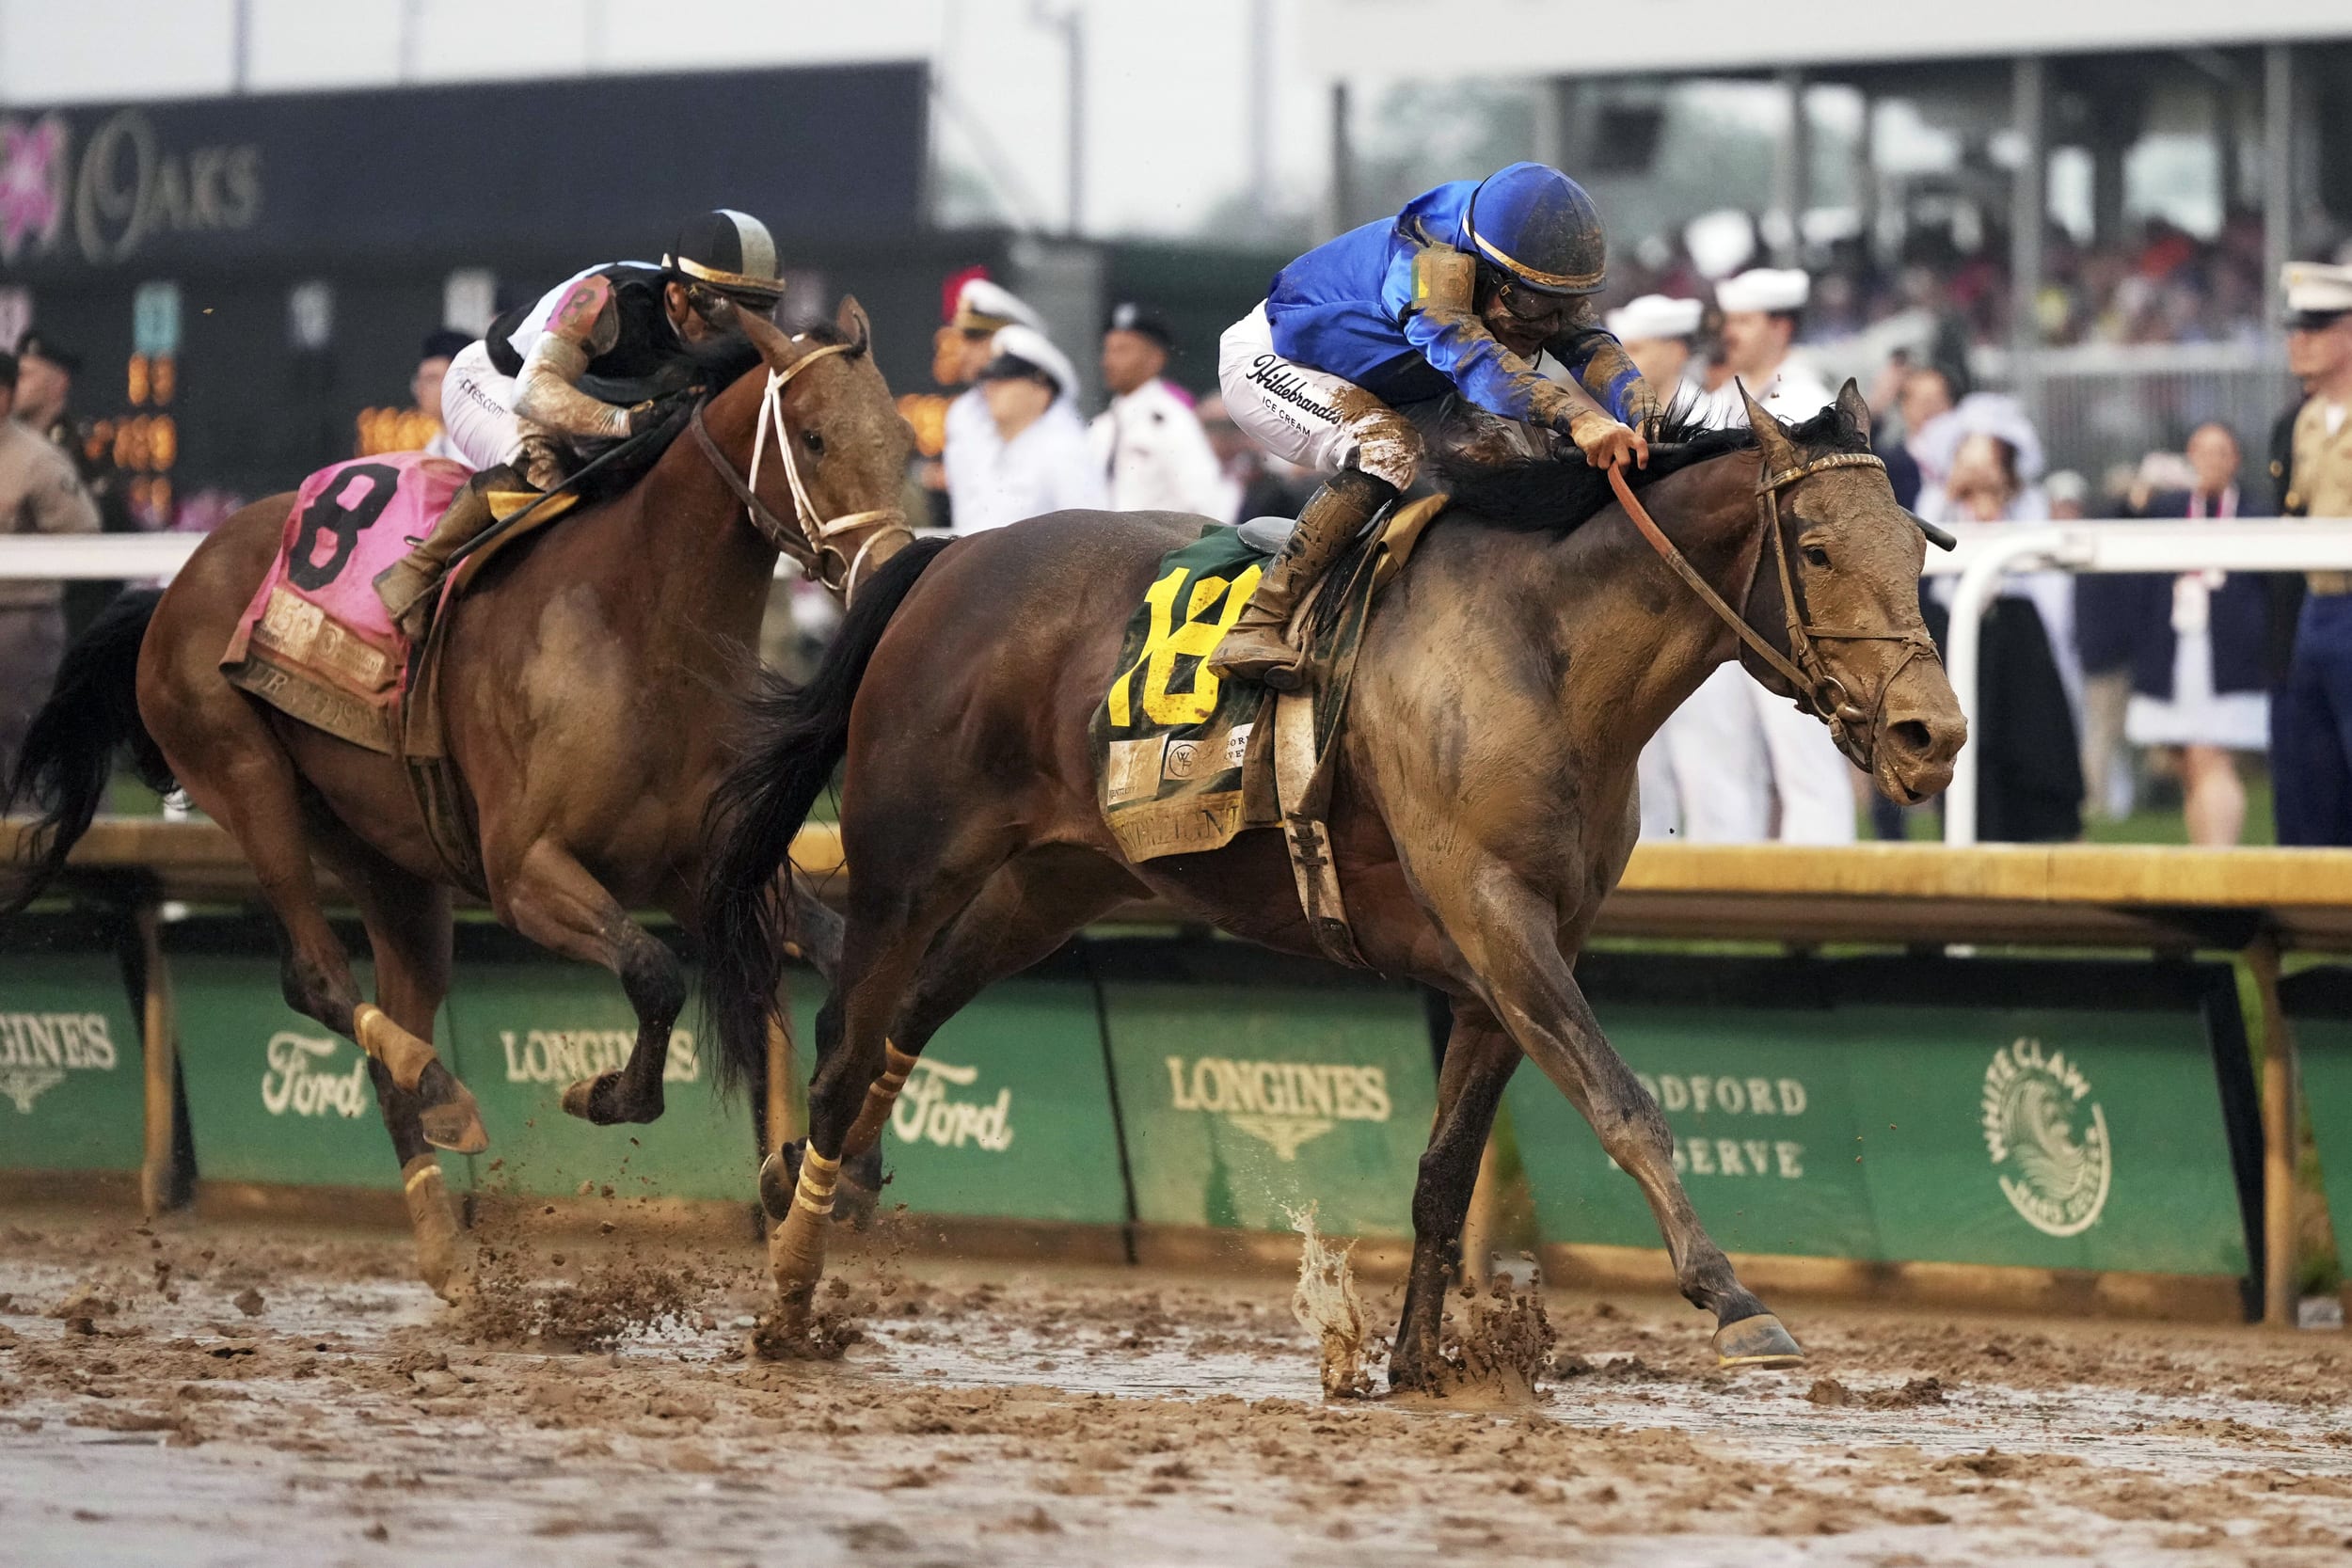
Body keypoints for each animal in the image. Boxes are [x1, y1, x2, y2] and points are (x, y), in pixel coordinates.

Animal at [4, 297, 913, 1296]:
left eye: (901, 436)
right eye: (816, 436)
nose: (889, 568)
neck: (640, 625)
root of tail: (177, 584)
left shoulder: (702, 864)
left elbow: (845, 978)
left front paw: (835, 1168)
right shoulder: (524, 872)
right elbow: (655, 973)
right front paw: (605, 1091)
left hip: (391, 861)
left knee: (386, 1025)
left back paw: (444, 1237)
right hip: (243, 775)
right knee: (317, 976)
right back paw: (440, 1088)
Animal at [698, 381, 1968, 1389]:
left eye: (1912, 550)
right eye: (1815, 550)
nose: (1933, 735)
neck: (1544, 649)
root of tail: (948, 556)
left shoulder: (1510, 956)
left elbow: (1446, 1173)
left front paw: (1416, 1360)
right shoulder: (1495, 918)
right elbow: (1624, 1103)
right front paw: (1734, 1299)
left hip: (1050, 881)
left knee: (903, 1025)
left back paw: (813, 1191)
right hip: (907, 864)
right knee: (840, 1050)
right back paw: (791, 1293)